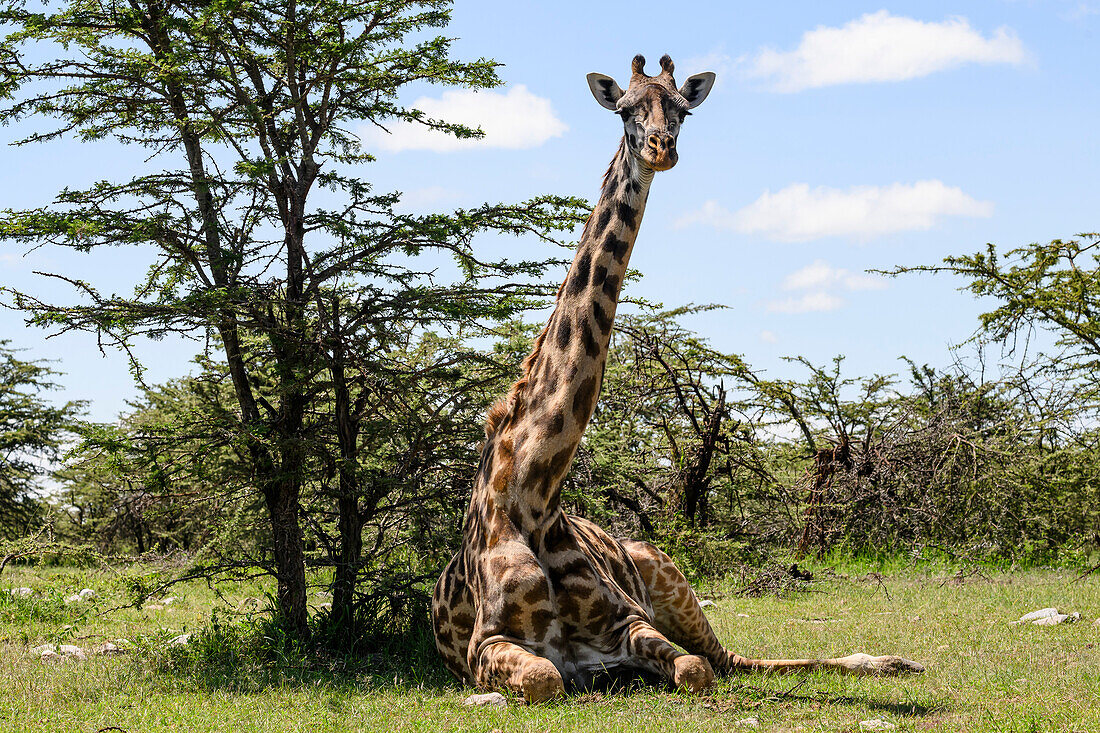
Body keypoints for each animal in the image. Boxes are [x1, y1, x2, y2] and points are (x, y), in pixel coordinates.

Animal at [433, 54, 924, 699]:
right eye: (624, 110)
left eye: (683, 109)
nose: (661, 148)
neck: (532, 494)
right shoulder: (485, 643)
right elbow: (545, 678)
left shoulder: (628, 621)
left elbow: (693, 669)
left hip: (666, 572)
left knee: (729, 658)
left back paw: (894, 662)